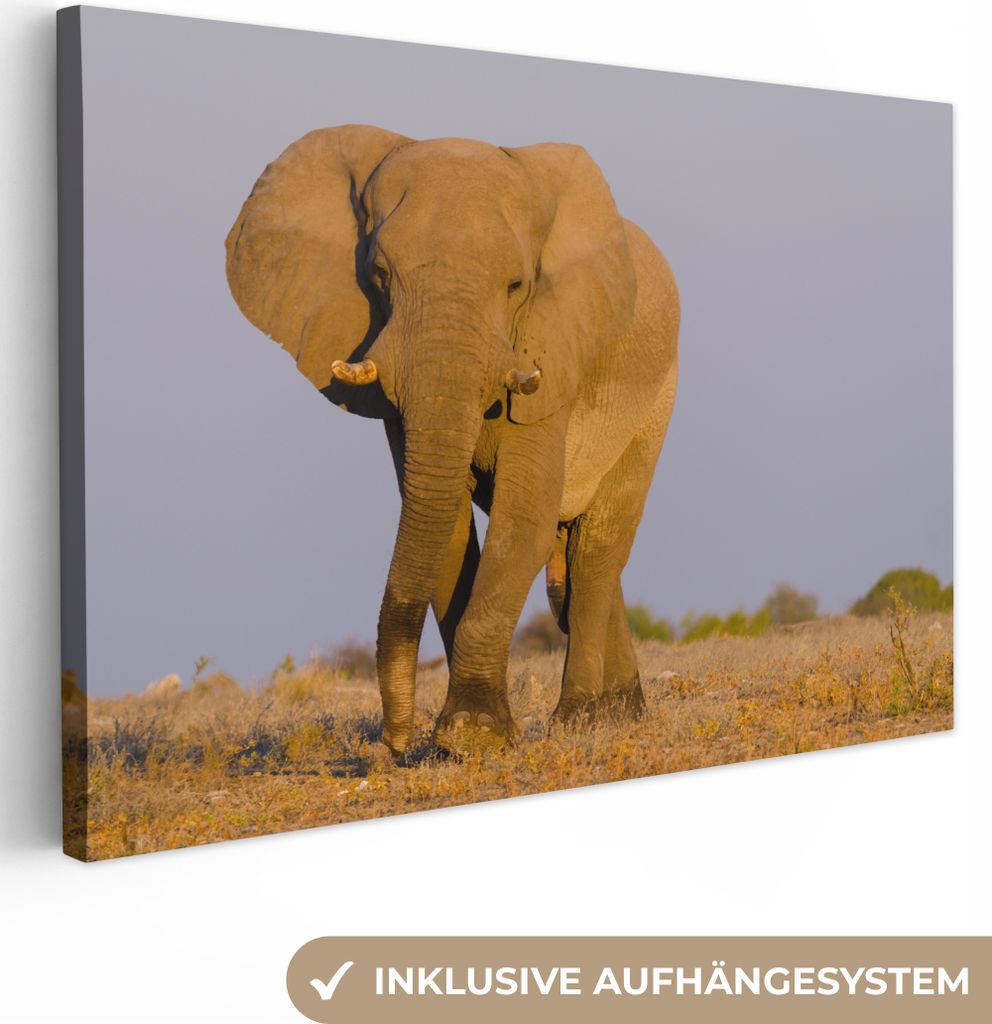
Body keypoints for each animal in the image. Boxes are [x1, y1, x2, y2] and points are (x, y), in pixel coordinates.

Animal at [225, 124, 679, 758]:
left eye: (516, 286)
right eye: (379, 276)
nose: (395, 743)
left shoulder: (553, 357)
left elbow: (523, 516)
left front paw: (473, 738)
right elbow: (448, 525)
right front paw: (461, 742)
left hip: (654, 401)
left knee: (595, 549)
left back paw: (584, 721)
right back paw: (621, 714)